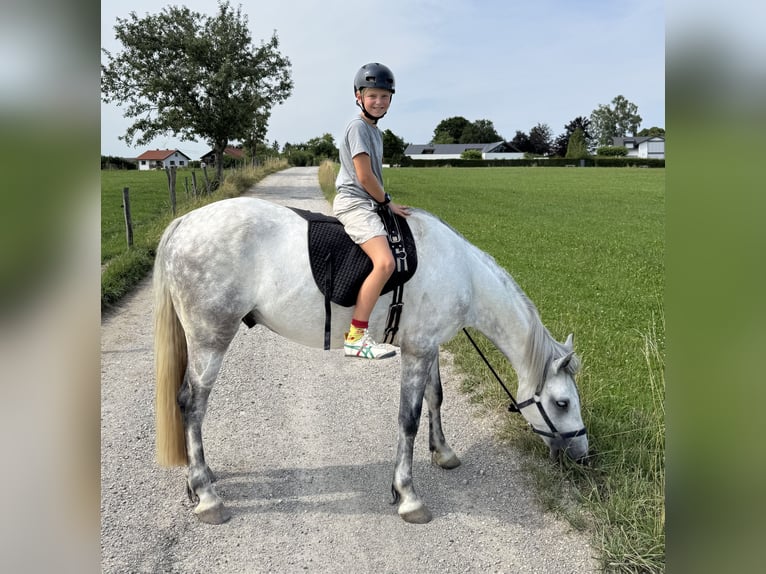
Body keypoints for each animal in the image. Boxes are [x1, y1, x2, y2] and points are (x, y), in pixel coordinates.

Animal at [153, 196, 588, 525]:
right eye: (562, 403)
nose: (582, 456)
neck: (461, 271)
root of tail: (184, 222)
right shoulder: (417, 351)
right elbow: (408, 419)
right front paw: (408, 495)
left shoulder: (428, 346)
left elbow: (436, 398)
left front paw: (443, 452)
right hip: (211, 339)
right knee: (192, 404)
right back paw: (207, 495)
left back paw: (200, 476)